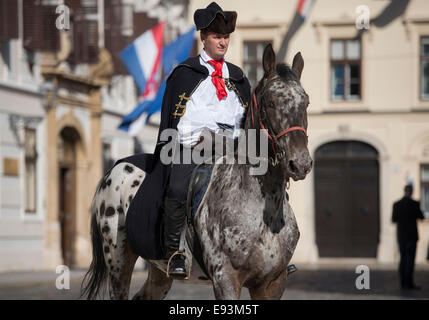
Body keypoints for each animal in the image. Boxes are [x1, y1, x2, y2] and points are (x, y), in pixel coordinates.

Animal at [81, 44, 310, 300]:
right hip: (118, 261)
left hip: (159, 271)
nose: (301, 163)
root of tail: (115, 169)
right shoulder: (226, 279)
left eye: (306, 102)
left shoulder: (272, 283)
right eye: (271, 102)